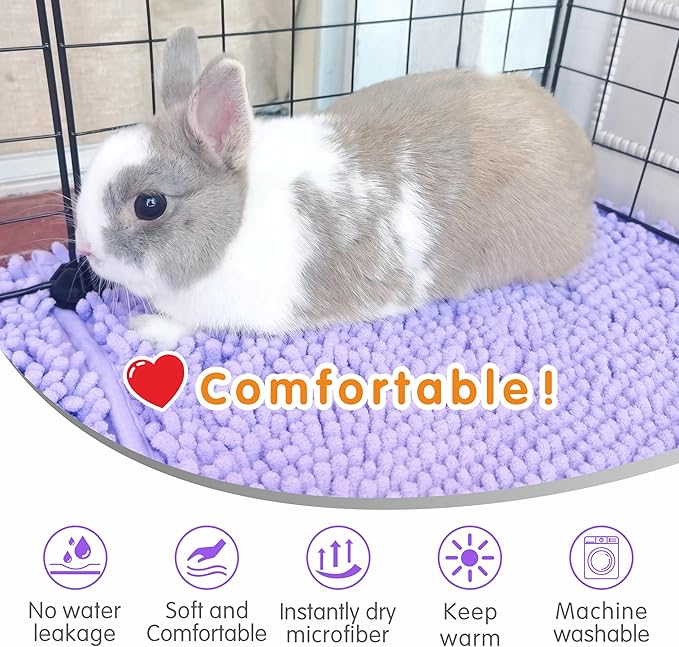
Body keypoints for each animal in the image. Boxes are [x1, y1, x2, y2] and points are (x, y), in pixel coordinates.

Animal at [75, 26, 595, 349]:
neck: (236, 224)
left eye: (149, 204)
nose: (84, 249)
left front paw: (148, 327)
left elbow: (187, 322)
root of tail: (581, 154)